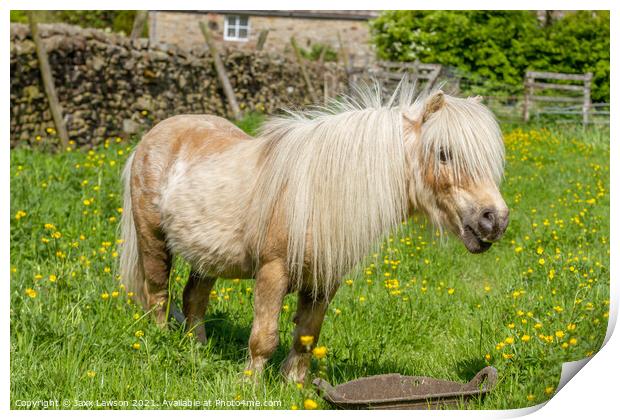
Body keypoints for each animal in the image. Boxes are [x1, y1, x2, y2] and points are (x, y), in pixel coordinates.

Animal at [117, 81, 508, 380]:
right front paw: (249, 387)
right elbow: (264, 337)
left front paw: (295, 386)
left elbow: (306, 335)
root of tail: (155, 135)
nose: (495, 219)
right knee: (159, 295)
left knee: (193, 301)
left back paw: (197, 351)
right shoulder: (272, 272)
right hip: (153, 241)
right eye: (444, 153)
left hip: (206, 258)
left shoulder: (324, 280)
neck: (319, 192)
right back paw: (160, 343)